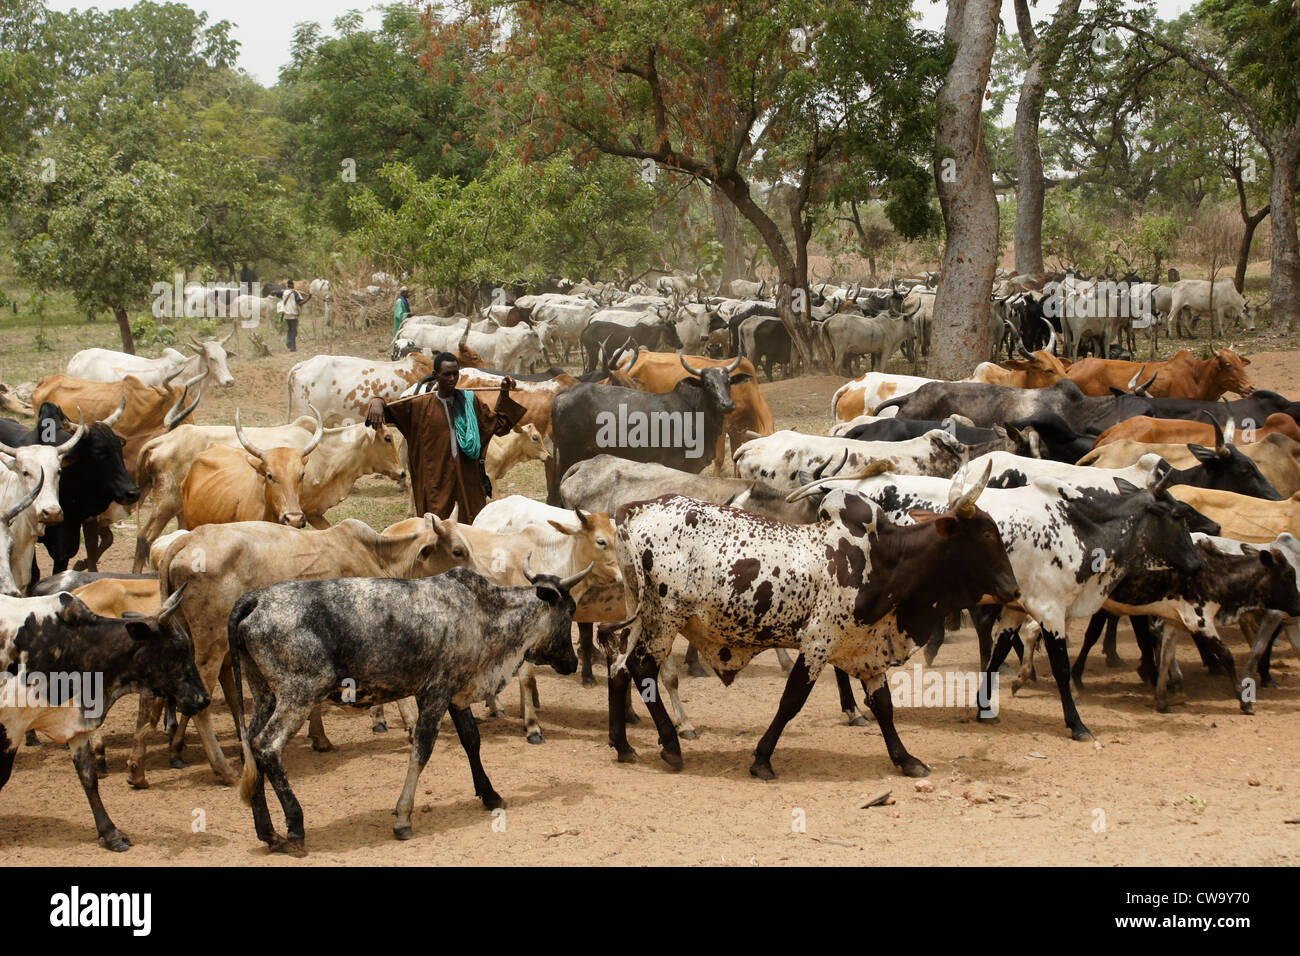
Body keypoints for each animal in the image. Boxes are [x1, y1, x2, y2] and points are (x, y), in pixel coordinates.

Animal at [1, 587, 207, 850]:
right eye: (179, 649)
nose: (203, 698)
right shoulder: (11, 727)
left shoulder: (76, 725)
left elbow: (89, 778)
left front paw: (111, 833)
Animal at [228, 563, 586, 851]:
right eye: (570, 612)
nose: (572, 662)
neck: (483, 612)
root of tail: (256, 599)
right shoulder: (435, 693)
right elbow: (422, 751)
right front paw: (402, 818)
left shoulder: (455, 693)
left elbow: (472, 741)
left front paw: (490, 795)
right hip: (299, 693)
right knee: (267, 746)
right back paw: (295, 826)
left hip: (265, 694)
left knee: (252, 746)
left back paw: (268, 832)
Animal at [546, 354, 748, 505]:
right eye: (707, 383)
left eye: (728, 381)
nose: (727, 404)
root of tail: (560, 396)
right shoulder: (676, 462)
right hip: (569, 454)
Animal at [601, 479, 1019, 778]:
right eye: (986, 535)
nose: (1014, 590)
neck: (886, 560)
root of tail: (636, 509)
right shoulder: (818, 644)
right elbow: (791, 701)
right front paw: (762, 760)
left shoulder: (867, 651)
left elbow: (884, 707)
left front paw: (906, 759)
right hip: (665, 618)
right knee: (641, 668)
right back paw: (671, 746)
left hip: (642, 614)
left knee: (619, 666)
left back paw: (623, 746)